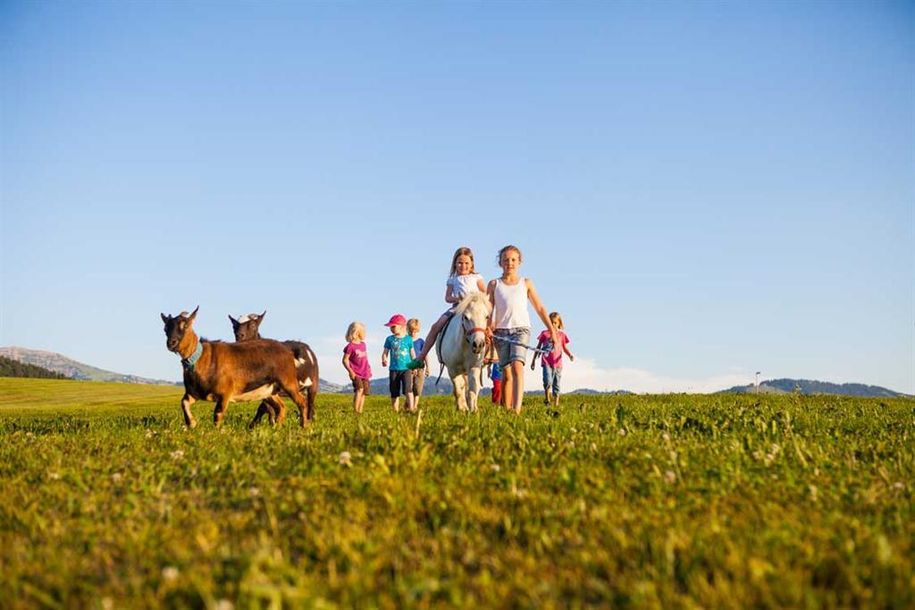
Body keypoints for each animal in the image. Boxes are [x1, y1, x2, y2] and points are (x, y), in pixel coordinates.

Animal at [161, 304, 312, 428]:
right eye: (165, 328)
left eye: (186, 325)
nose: (171, 343)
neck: (202, 357)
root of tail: (287, 351)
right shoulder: (193, 393)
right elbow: (183, 402)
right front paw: (192, 423)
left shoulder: (225, 393)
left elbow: (217, 414)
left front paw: (217, 432)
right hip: (269, 390)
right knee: (281, 407)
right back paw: (277, 428)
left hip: (288, 381)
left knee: (302, 402)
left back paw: (304, 427)